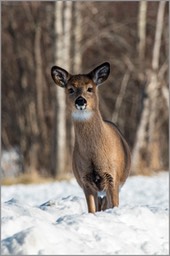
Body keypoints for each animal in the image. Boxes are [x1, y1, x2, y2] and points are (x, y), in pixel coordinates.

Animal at [51, 63, 131, 213]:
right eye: (70, 89)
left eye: (90, 88)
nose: (80, 100)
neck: (94, 155)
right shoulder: (85, 181)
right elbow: (91, 210)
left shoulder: (113, 177)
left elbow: (114, 205)